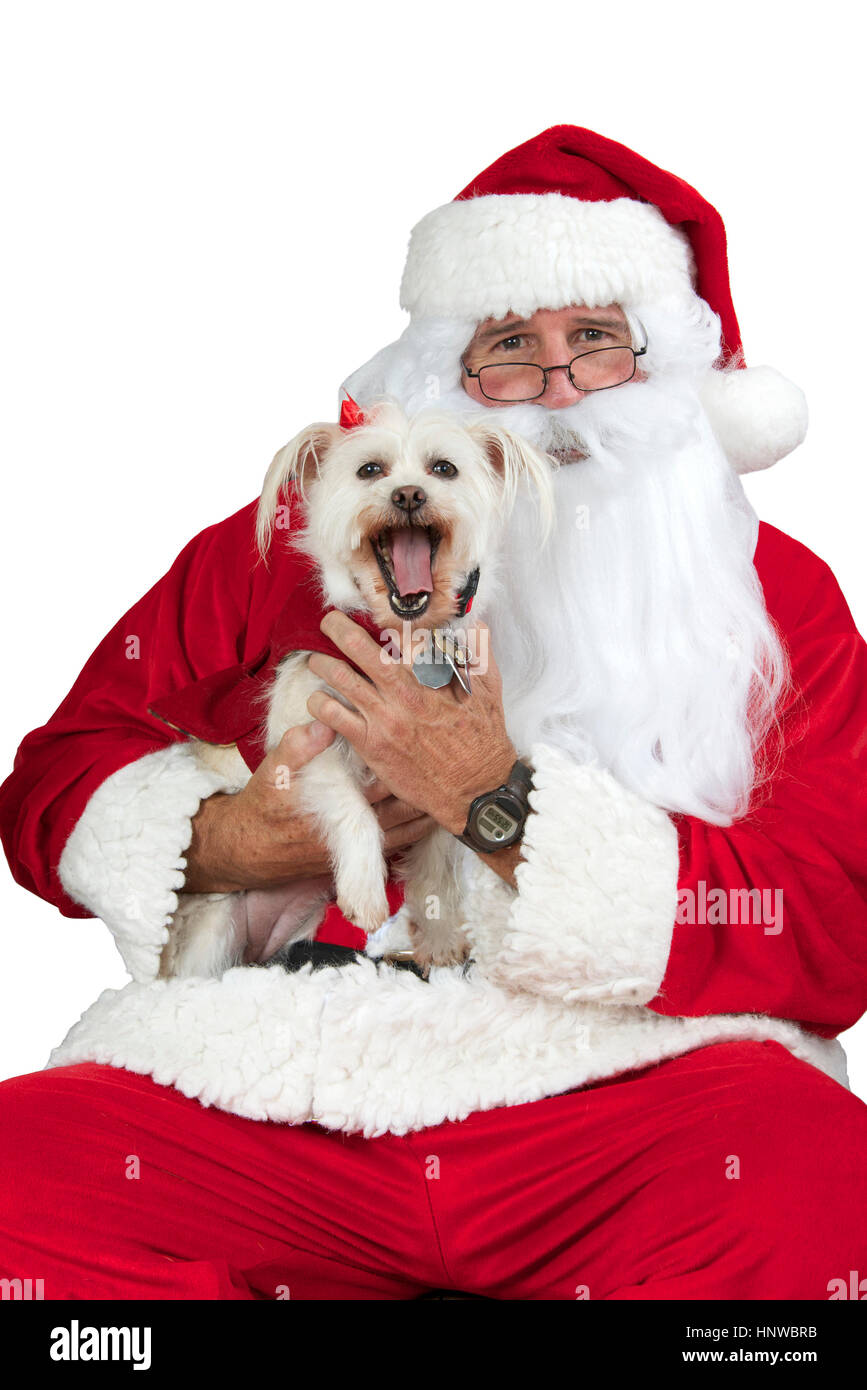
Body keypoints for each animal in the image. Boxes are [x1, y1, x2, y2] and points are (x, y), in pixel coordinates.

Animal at [161, 405, 555, 978]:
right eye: (370, 471)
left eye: (444, 469)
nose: (409, 495)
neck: (400, 637)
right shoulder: (305, 749)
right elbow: (355, 811)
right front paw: (367, 892)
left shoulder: (444, 788)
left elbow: (437, 862)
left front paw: (439, 935)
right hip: (213, 930)